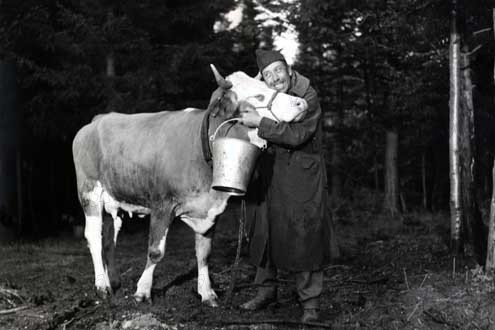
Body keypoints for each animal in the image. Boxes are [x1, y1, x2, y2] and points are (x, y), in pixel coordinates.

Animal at [71, 65, 308, 306]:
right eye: (258, 95)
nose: (301, 103)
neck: (201, 148)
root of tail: (99, 119)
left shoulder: (212, 209)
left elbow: (204, 252)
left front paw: (207, 293)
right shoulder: (162, 204)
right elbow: (156, 251)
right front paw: (142, 291)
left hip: (115, 200)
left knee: (109, 240)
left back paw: (114, 280)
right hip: (89, 191)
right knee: (94, 237)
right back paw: (102, 286)